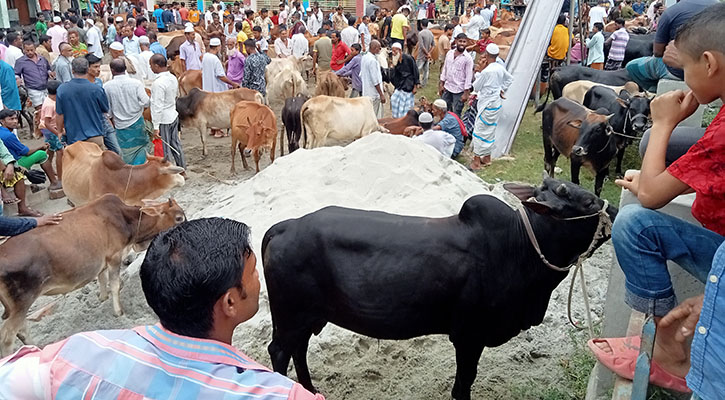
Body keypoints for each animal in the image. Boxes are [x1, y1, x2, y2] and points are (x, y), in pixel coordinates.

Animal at [0, 195, 187, 354]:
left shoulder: (102, 261)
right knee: (7, 337)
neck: (125, 219)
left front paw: (102, 298)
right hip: (23, 301)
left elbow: (102, 279)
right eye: (179, 218)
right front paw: (118, 312)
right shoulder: (114, 256)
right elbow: (115, 285)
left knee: (22, 330)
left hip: (16, 307)